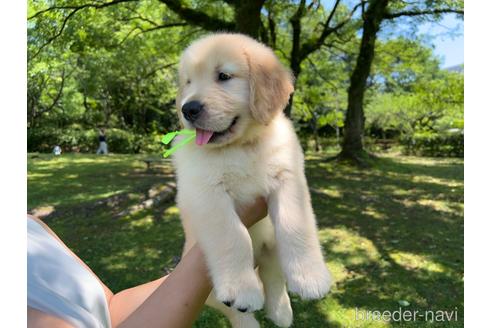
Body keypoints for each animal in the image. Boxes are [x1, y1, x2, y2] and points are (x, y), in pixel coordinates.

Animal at [172, 34, 330, 328]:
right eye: (188, 82)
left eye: (223, 76)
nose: (188, 109)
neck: (242, 146)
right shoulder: (205, 192)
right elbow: (233, 235)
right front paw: (242, 289)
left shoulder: (289, 177)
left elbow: (296, 225)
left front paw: (311, 277)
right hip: (207, 289)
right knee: (233, 309)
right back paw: (249, 315)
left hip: (272, 245)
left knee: (274, 275)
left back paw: (281, 310)